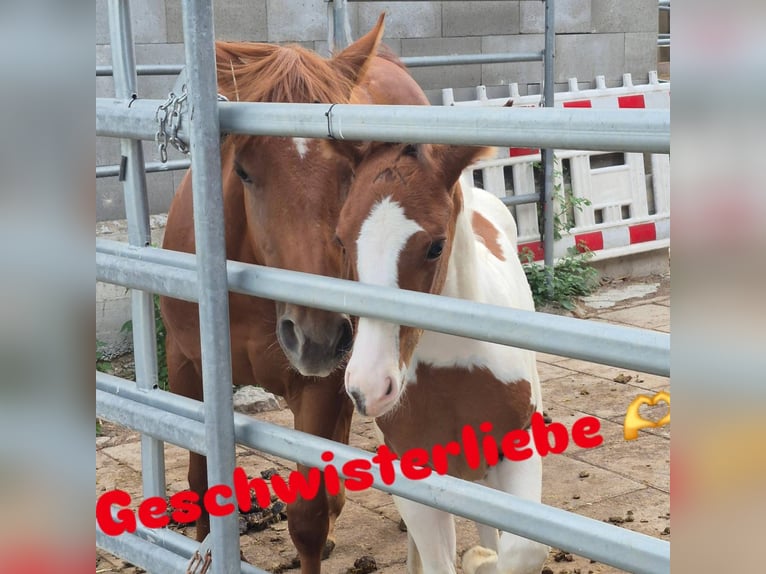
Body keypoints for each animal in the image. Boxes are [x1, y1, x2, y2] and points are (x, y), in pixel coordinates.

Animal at [159, 15, 429, 573]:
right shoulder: (187, 365)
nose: (318, 337)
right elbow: (199, 484)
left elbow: (306, 520)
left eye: (351, 171)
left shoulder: (317, 387)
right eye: (243, 169)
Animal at [331, 140, 550, 574]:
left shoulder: (518, 447)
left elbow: (523, 549)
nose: (367, 388)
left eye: (434, 246)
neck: (452, 369)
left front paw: (482, 560)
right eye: (342, 240)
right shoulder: (412, 470)